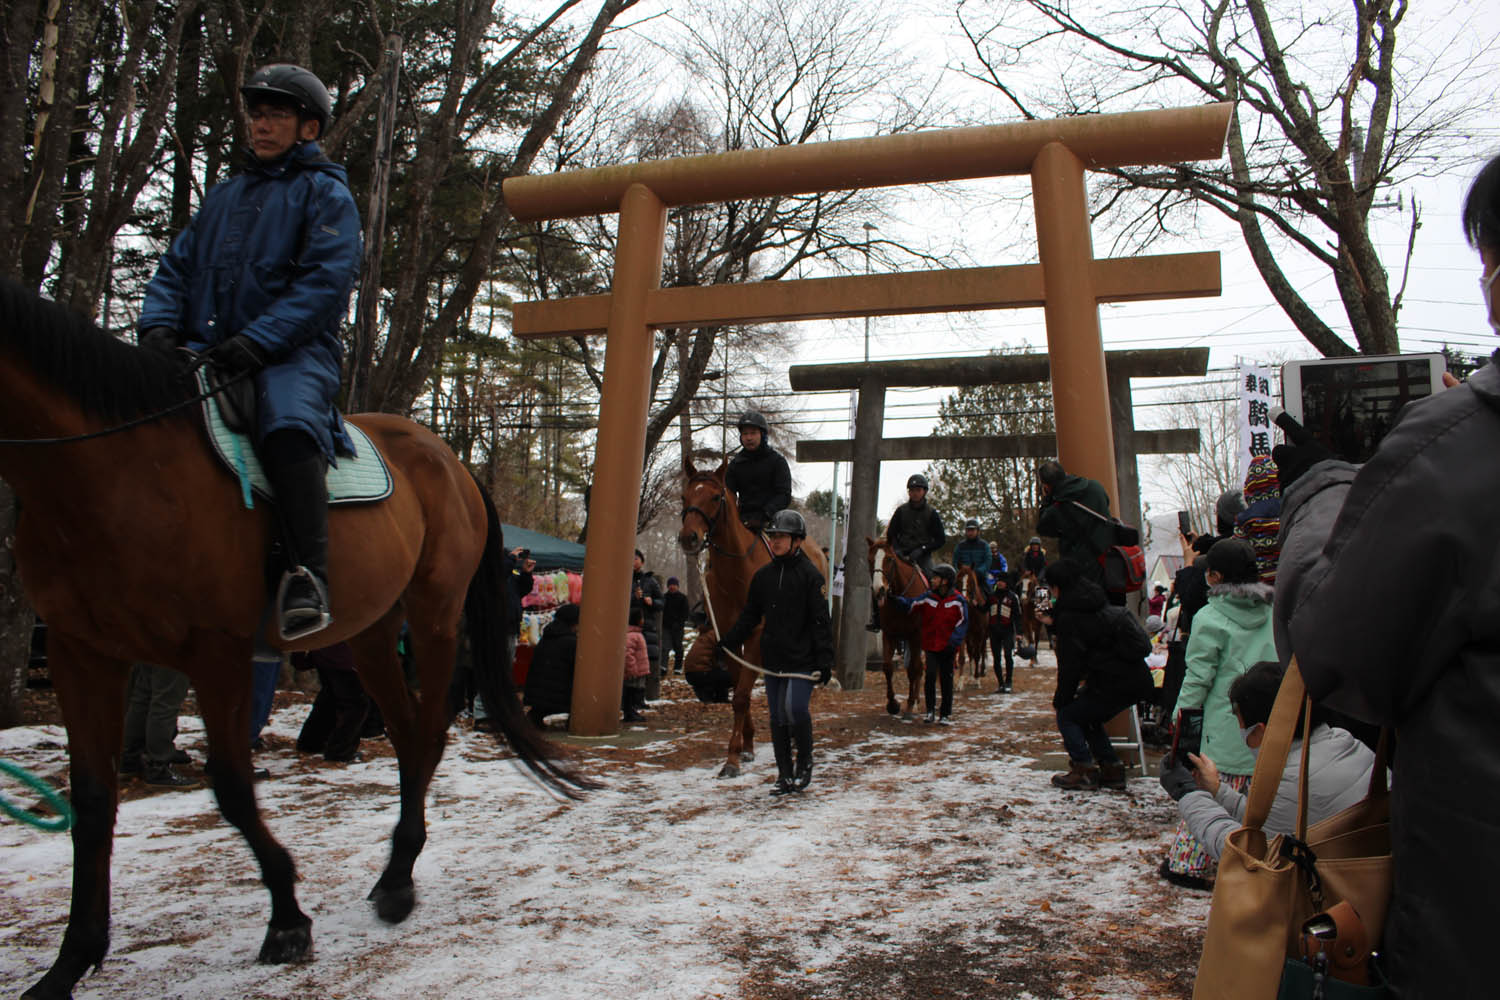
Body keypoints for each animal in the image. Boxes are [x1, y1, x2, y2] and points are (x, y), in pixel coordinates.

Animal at [0, 278, 588, 1000]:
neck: (116, 469)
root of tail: (449, 458)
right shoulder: (82, 652)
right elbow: (90, 799)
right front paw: (71, 960)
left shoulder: (216, 650)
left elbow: (231, 786)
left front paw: (286, 918)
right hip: (371, 633)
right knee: (407, 731)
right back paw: (396, 871)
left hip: (433, 615)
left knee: (427, 731)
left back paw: (398, 882)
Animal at [866, 538, 926, 717]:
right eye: (870, 560)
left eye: (890, 559)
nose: (879, 589)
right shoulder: (889, 634)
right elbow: (887, 667)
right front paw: (893, 704)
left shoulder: (915, 635)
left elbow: (913, 669)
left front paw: (910, 705)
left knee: (919, 667)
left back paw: (915, 702)